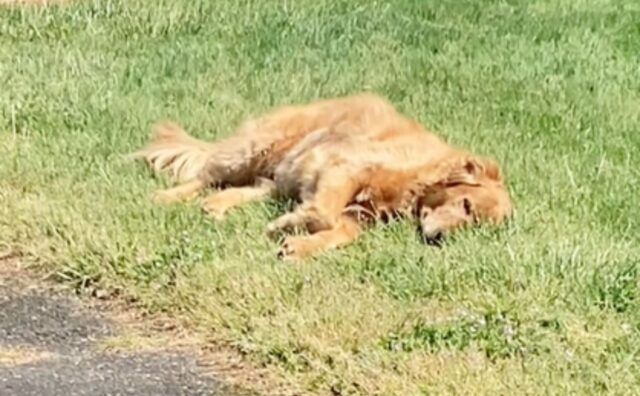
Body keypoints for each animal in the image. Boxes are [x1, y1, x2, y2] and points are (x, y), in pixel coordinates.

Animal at [129, 93, 510, 260]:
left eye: (475, 227)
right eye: (466, 204)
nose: (441, 239)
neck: (420, 178)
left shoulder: (359, 215)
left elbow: (339, 233)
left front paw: (299, 244)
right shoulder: (345, 166)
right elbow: (323, 213)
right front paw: (290, 224)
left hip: (277, 176)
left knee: (246, 188)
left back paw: (216, 208)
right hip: (256, 148)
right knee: (205, 173)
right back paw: (166, 197)